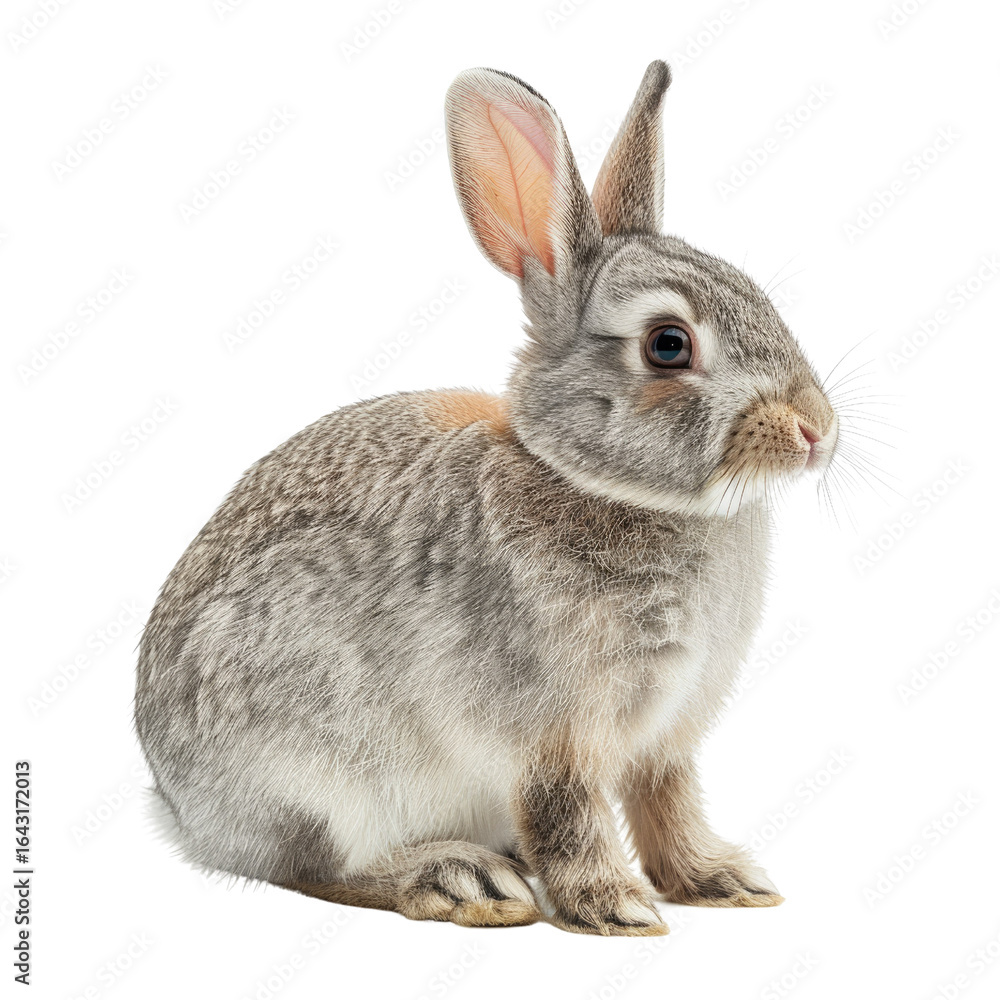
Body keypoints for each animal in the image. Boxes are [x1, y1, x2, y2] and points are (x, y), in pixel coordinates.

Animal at [135, 59, 838, 937]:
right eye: (668, 345)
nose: (816, 430)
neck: (596, 481)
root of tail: (180, 808)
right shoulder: (550, 732)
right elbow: (567, 812)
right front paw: (616, 908)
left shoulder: (666, 735)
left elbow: (667, 804)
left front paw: (721, 881)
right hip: (319, 772)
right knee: (316, 867)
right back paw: (460, 879)